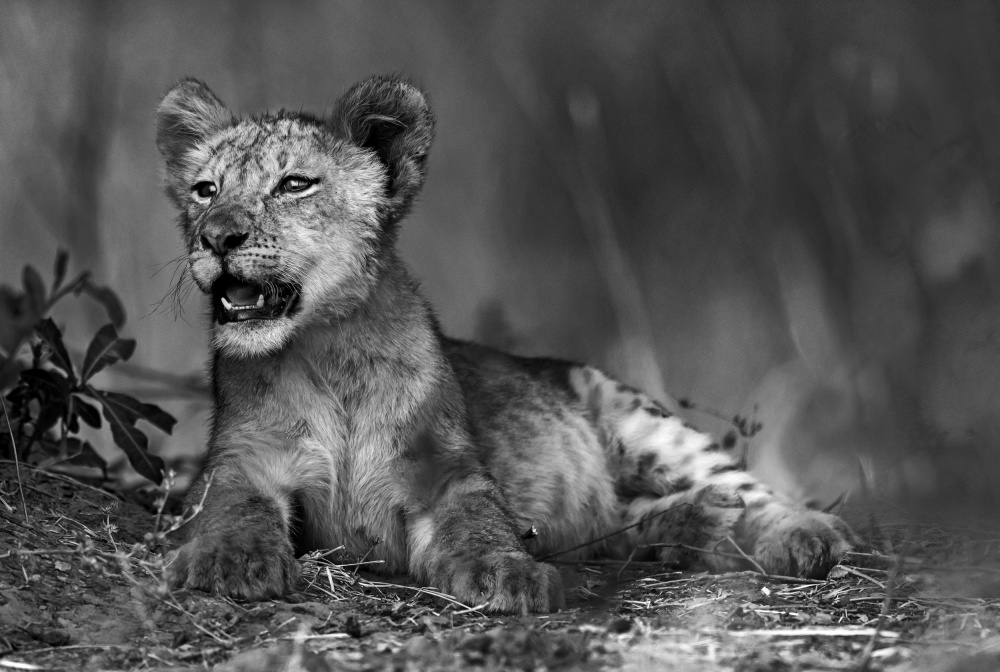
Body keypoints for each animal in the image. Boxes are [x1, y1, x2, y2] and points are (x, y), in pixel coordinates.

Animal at [156, 75, 856, 614]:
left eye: (295, 185)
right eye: (205, 190)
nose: (217, 236)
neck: (332, 350)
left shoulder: (449, 471)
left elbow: (481, 523)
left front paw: (510, 574)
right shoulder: (243, 457)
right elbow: (234, 504)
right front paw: (232, 562)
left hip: (640, 419)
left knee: (745, 484)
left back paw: (800, 534)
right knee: (622, 522)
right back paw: (702, 519)